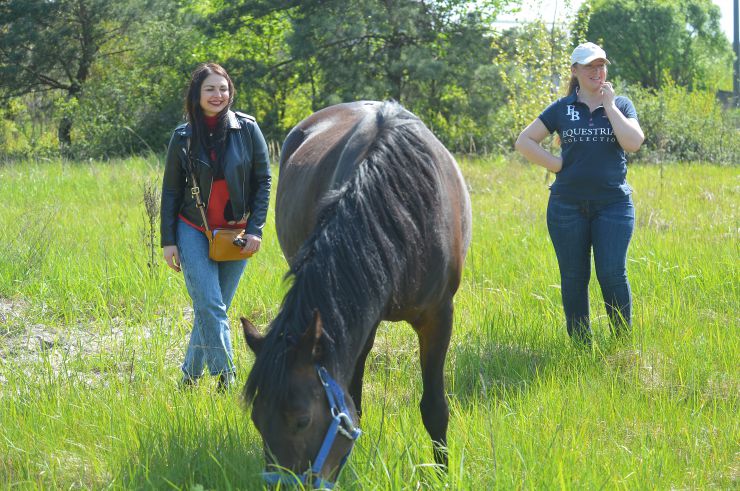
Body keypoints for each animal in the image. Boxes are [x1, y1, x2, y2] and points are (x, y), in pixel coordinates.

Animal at [243, 100, 474, 488]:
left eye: (302, 420)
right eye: (257, 420)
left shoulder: (439, 316)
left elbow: (435, 408)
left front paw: (442, 474)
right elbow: (353, 400)